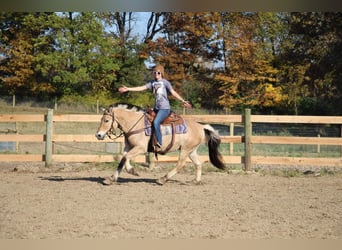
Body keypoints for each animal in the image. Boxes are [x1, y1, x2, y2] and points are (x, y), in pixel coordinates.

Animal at [95, 102, 226, 185]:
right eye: (101, 120)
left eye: (106, 120)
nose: (98, 135)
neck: (136, 124)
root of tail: (201, 127)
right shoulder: (129, 147)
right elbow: (123, 158)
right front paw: (115, 177)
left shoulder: (140, 148)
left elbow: (125, 158)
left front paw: (127, 173)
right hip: (191, 150)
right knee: (198, 164)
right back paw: (196, 181)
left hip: (185, 150)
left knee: (180, 164)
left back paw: (162, 179)